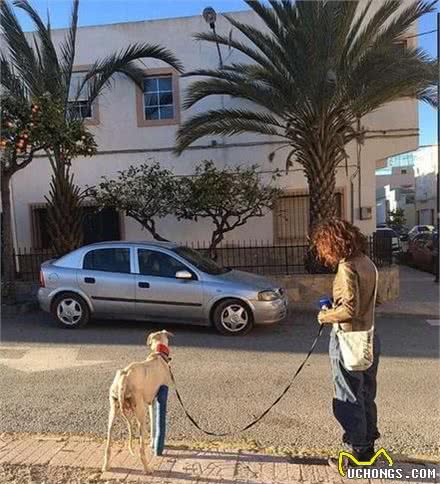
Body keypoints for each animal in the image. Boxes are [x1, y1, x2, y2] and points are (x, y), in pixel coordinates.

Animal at [102, 328, 173, 472]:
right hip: (140, 411)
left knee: (108, 441)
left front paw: (152, 443)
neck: (157, 355)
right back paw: (147, 469)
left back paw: (106, 466)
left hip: (113, 410)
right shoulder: (157, 398)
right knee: (141, 449)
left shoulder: (151, 401)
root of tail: (124, 376)